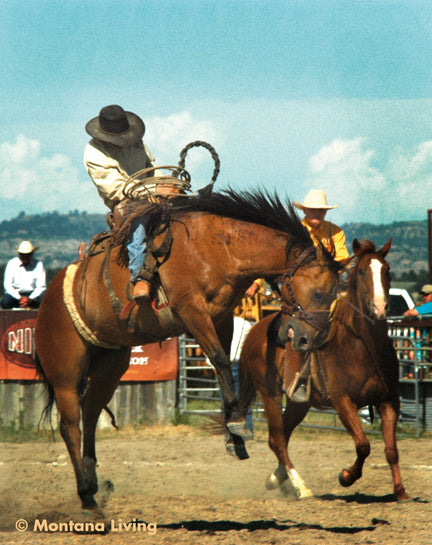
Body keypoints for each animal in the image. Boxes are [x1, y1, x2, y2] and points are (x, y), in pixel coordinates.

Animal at [34, 189, 340, 512]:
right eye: (319, 292)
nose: (308, 340)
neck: (217, 247)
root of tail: (48, 299)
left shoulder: (221, 316)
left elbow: (222, 364)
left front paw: (234, 437)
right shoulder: (191, 309)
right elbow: (219, 358)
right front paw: (236, 425)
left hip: (110, 365)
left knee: (91, 414)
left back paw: (93, 484)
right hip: (65, 375)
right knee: (70, 426)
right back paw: (85, 494)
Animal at [238, 238, 410, 502]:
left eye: (387, 270)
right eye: (361, 271)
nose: (380, 307)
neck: (362, 345)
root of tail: (255, 331)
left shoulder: (389, 400)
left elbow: (391, 449)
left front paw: (400, 491)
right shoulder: (343, 402)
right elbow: (363, 445)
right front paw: (346, 476)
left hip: (299, 403)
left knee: (280, 435)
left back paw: (278, 479)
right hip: (269, 394)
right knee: (278, 439)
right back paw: (301, 487)